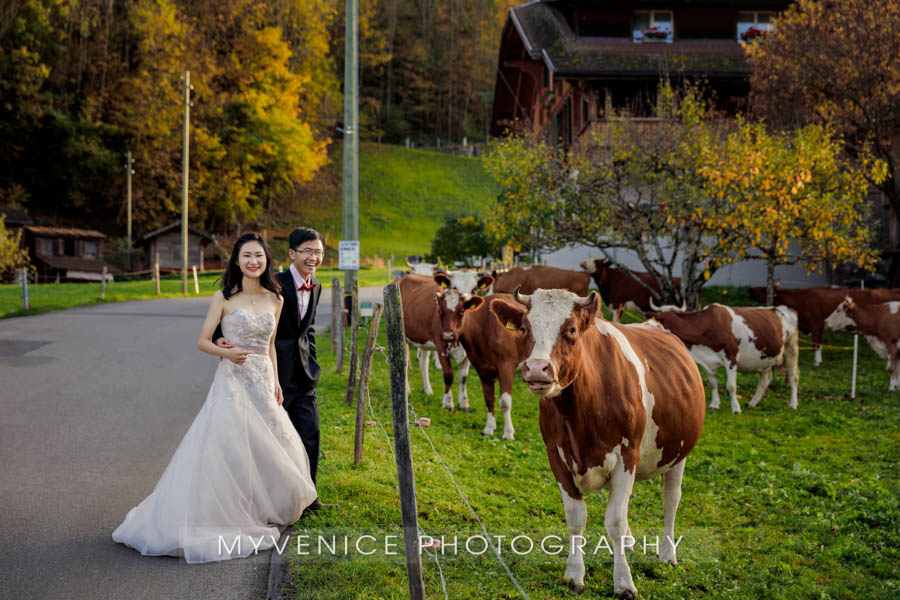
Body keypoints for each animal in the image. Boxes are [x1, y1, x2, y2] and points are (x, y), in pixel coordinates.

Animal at [398, 274, 482, 410]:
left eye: (461, 311)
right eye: (440, 311)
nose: (448, 335)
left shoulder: (468, 351)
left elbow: (463, 377)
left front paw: (464, 403)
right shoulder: (441, 346)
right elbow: (448, 374)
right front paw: (448, 403)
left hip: (424, 340)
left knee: (423, 362)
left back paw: (427, 390)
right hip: (403, 337)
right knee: (404, 363)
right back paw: (407, 390)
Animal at [460, 292, 532, 438]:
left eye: (460, 311)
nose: (446, 334)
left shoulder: (506, 366)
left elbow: (505, 402)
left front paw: (508, 432)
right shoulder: (482, 369)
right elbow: (488, 398)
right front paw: (489, 428)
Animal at [488, 288, 708, 596]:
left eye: (570, 330)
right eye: (524, 328)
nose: (536, 369)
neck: (580, 413)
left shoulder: (627, 455)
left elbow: (614, 520)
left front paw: (624, 582)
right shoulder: (556, 456)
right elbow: (576, 517)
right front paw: (574, 574)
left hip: (679, 452)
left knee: (671, 499)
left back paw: (667, 553)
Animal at [644, 304, 800, 412]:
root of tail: (786, 308)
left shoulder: (731, 358)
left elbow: (731, 386)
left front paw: (736, 408)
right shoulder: (708, 363)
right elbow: (713, 383)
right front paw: (714, 404)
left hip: (791, 348)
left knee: (793, 377)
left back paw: (793, 404)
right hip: (766, 357)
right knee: (765, 379)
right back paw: (753, 403)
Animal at [744, 286, 900, 366]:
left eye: (764, 289)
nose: (749, 288)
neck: (801, 299)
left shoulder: (816, 324)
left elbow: (816, 344)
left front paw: (817, 362)